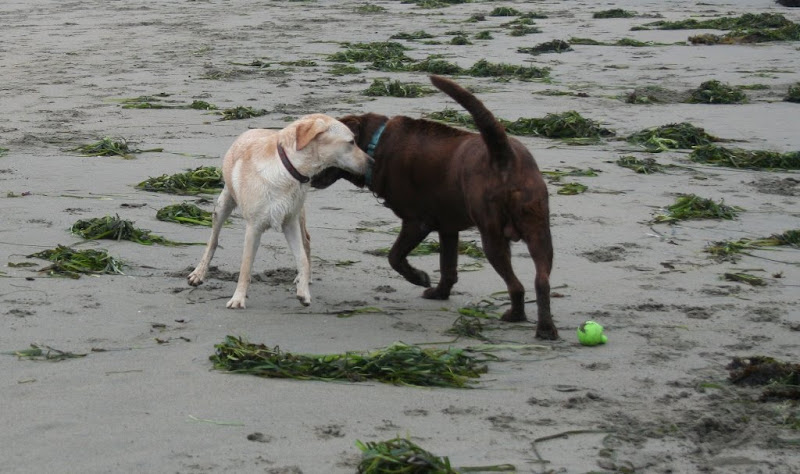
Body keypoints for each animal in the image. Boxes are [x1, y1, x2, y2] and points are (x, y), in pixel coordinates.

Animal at [189, 114, 374, 308]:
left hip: (299, 213)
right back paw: (199, 273)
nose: (373, 162)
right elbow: (245, 267)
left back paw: (304, 279)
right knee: (213, 240)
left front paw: (303, 292)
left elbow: (302, 259)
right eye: (351, 142)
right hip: (223, 205)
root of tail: (252, 130)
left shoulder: (290, 223)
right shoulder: (253, 228)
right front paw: (238, 299)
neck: (288, 168)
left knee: (306, 241)